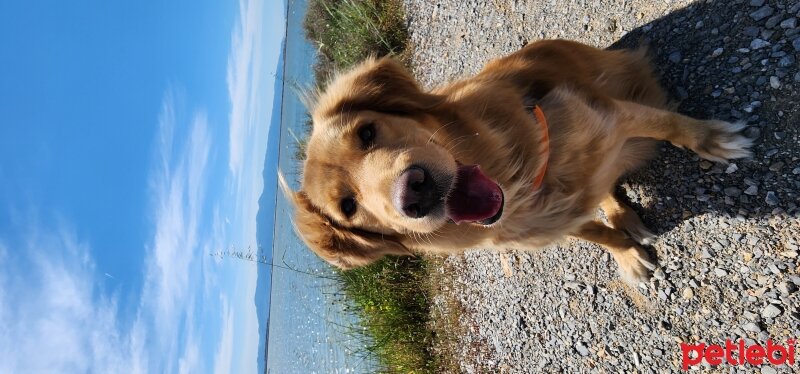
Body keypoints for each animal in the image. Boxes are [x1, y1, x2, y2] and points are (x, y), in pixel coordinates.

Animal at [280, 39, 752, 282]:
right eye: (348, 207)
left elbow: (668, 125)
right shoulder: (549, 221)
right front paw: (624, 252)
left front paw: (712, 139)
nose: (415, 192)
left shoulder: (608, 113)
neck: (517, 180)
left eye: (367, 132)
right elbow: (597, 234)